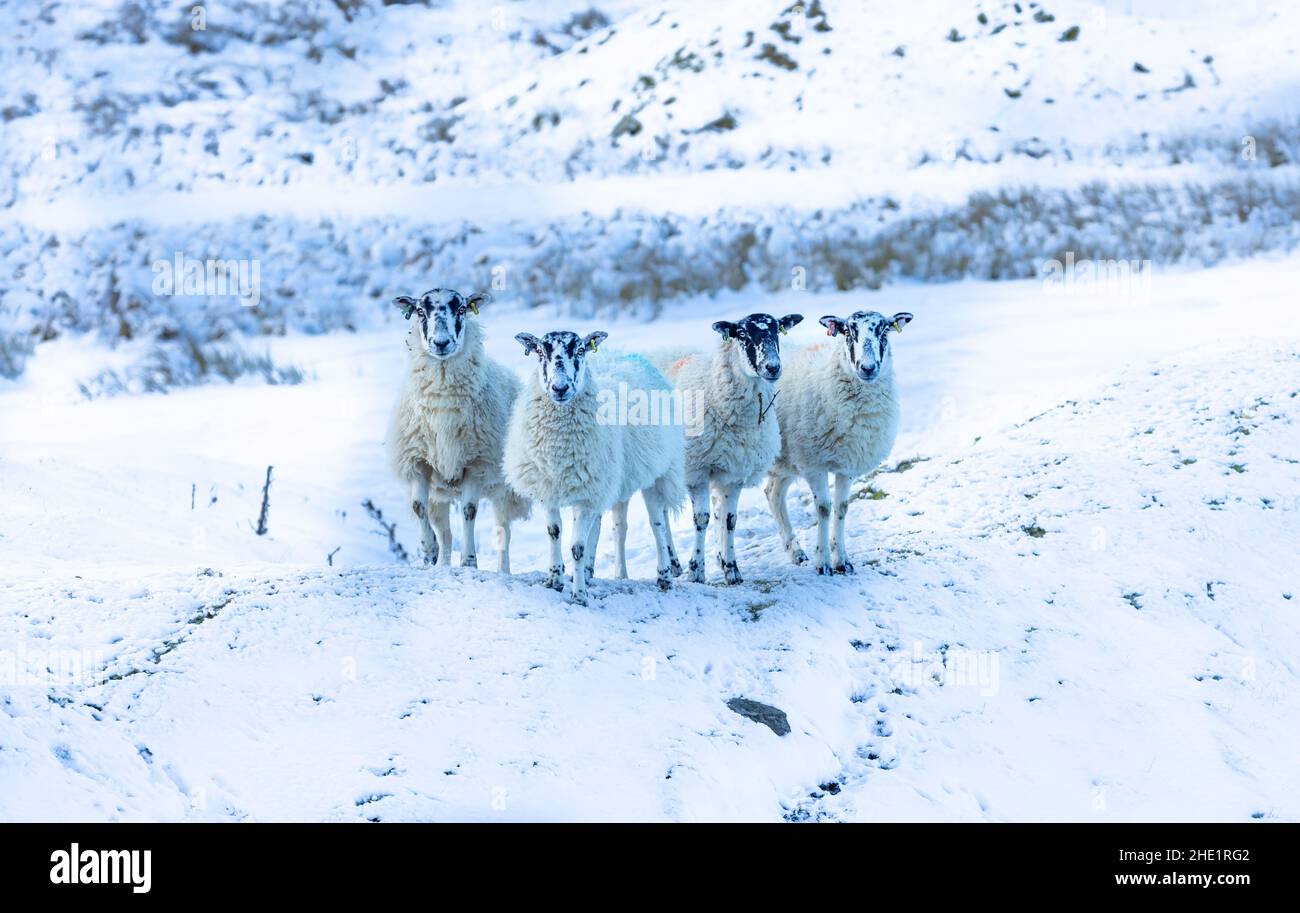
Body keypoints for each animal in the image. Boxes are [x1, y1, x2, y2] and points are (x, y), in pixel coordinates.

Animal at [384, 287, 527, 572]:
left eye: (461, 309)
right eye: (420, 311)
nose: (441, 343)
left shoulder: (476, 463)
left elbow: (469, 511)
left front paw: (469, 561)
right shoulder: (418, 462)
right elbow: (418, 508)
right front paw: (429, 551)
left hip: (505, 489)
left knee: (503, 531)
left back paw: (503, 571)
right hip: (440, 493)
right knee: (446, 532)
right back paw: (441, 562)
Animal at [504, 332, 691, 603]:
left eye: (580, 350)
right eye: (539, 351)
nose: (560, 388)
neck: (558, 451)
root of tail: (623, 354)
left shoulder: (587, 494)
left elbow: (577, 547)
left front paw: (579, 594)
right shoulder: (551, 489)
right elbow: (554, 533)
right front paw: (555, 579)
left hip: (657, 473)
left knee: (658, 524)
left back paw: (664, 575)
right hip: (612, 481)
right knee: (611, 526)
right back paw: (595, 572)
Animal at [660, 313, 800, 587]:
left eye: (778, 329)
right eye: (742, 334)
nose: (773, 367)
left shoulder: (734, 474)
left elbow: (729, 520)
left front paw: (732, 569)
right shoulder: (697, 471)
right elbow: (701, 519)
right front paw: (696, 570)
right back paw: (673, 563)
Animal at [759, 310, 915, 574]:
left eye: (884, 331)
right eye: (849, 332)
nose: (867, 367)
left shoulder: (848, 463)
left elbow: (842, 507)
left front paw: (842, 560)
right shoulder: (813, 464)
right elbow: (823, 508)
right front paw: (823, 563)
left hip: (785, 460)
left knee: (773, 493)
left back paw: (795, 552)